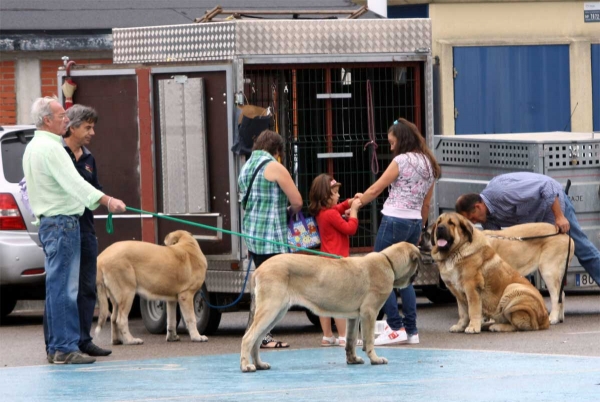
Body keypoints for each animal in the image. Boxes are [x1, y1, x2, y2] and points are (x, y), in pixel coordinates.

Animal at [240, 240, 422, 372]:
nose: (418, 274)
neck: (388, 262)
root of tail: (259, 269)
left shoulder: (353, 317)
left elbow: (350, 340)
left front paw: (352, 359)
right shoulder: (369, 313)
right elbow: (369, 340)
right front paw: (375, 359)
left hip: (276, 313)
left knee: (257, 340)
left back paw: (259, 364)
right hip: (270, 310)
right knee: (248, 338)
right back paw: (246, 366)